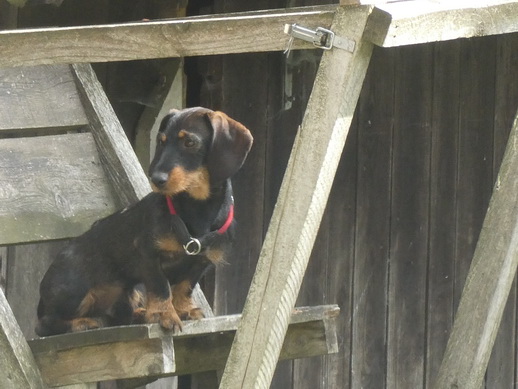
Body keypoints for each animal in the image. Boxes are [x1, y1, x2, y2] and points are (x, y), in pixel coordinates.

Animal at [35, 107, 255, 336]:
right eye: (161, 141)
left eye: (190, 142)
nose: (156, 179)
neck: (197, 209)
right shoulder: (148, 254)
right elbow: (161, 287)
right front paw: (164, 314)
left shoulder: (202, 261)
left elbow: (184, 286)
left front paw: (184, 309)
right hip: (74, 289)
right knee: (45, 324)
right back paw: (84, 322)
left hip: (129, 293)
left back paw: (139, 314)